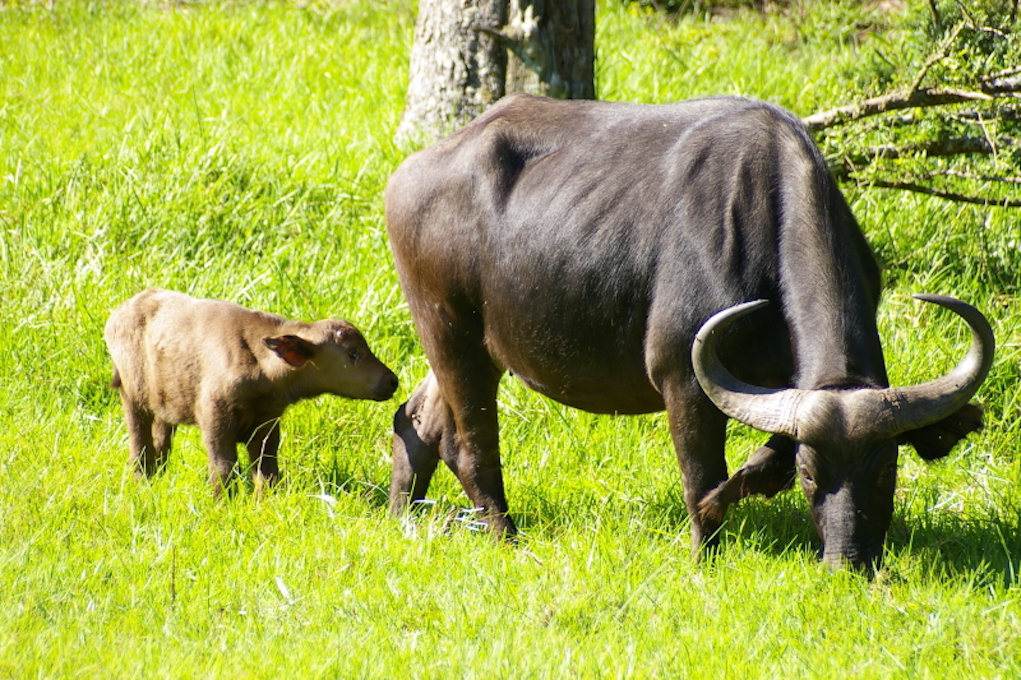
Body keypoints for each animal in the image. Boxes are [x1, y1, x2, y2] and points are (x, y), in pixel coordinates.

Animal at [104, 287, 398, 496]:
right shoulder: (215, 418)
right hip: (132, 397)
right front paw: (223, 503)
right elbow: (224, 466)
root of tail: (120, 312)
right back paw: (142, 481)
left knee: (160, 440)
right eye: (353, 353)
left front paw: (264, 502)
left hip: (164, 402)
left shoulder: (267, 425)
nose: (392, 380)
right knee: (139, 444)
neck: (262, 368)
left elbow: (266, 469)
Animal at [383, 91, 996, 567]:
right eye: (809, 476)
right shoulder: (685, 381)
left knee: (418, 416)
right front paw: (707, 558)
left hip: (466, 348)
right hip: (451, 333)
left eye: (886, 469)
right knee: (470, 443)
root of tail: (408, 174)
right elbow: (703, 479)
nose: (850, 562)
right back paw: (506, 536)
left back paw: (401, 517)